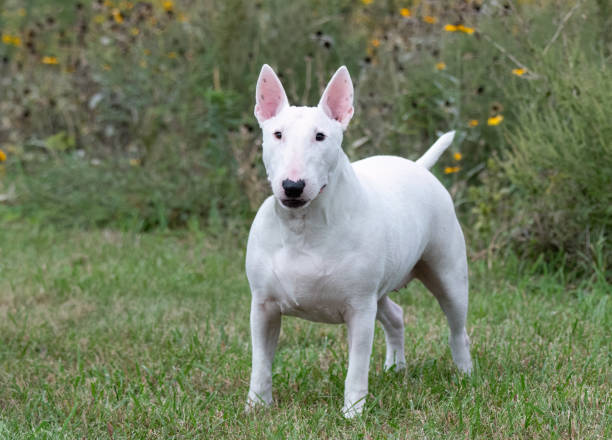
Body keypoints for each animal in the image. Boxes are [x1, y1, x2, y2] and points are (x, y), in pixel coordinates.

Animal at [244, 64, 474, 416]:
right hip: (382, 289)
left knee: (457, 327)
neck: (303, 227)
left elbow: (357, 364)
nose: (293, 187)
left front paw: (353, 413)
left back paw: (464, 374)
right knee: (396, 316)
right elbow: (260, 362)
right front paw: (256, 406)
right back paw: (396, 368)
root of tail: (418, 167)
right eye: (277, 134)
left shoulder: (360, 307)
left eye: (320, 136)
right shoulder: (263, 306)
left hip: (447, 274)